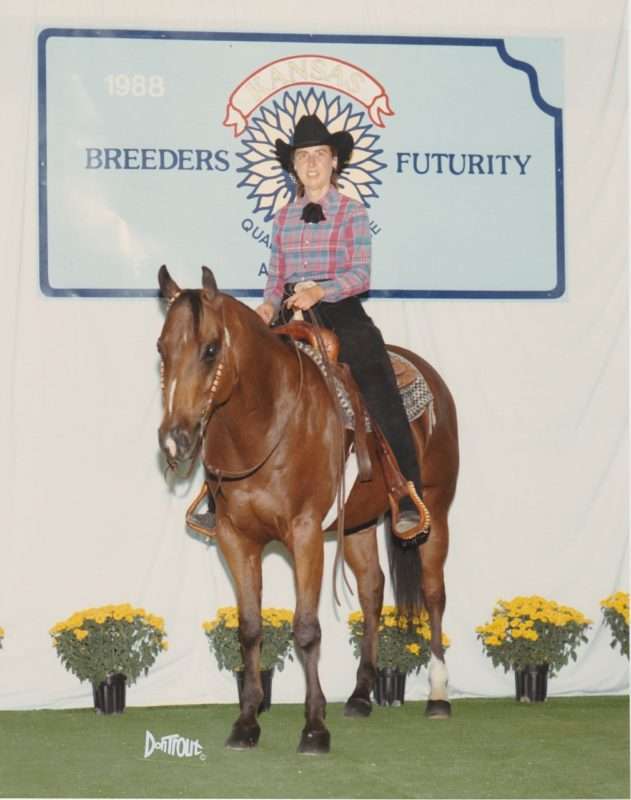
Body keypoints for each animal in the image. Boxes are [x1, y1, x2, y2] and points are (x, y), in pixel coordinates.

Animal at [156, 265, 459, 754]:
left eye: (210, 349)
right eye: (161, 348)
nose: (174, 440)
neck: (264, 423)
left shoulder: (305, 533)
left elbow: (306, 629)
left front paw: (315, 728)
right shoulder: (236, 538)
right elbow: (250, 627)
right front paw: (247, 722)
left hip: (437, 507)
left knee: (434, 594)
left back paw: (437, 695)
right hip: (356, 523)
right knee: (372, 590)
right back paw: (359, 695)